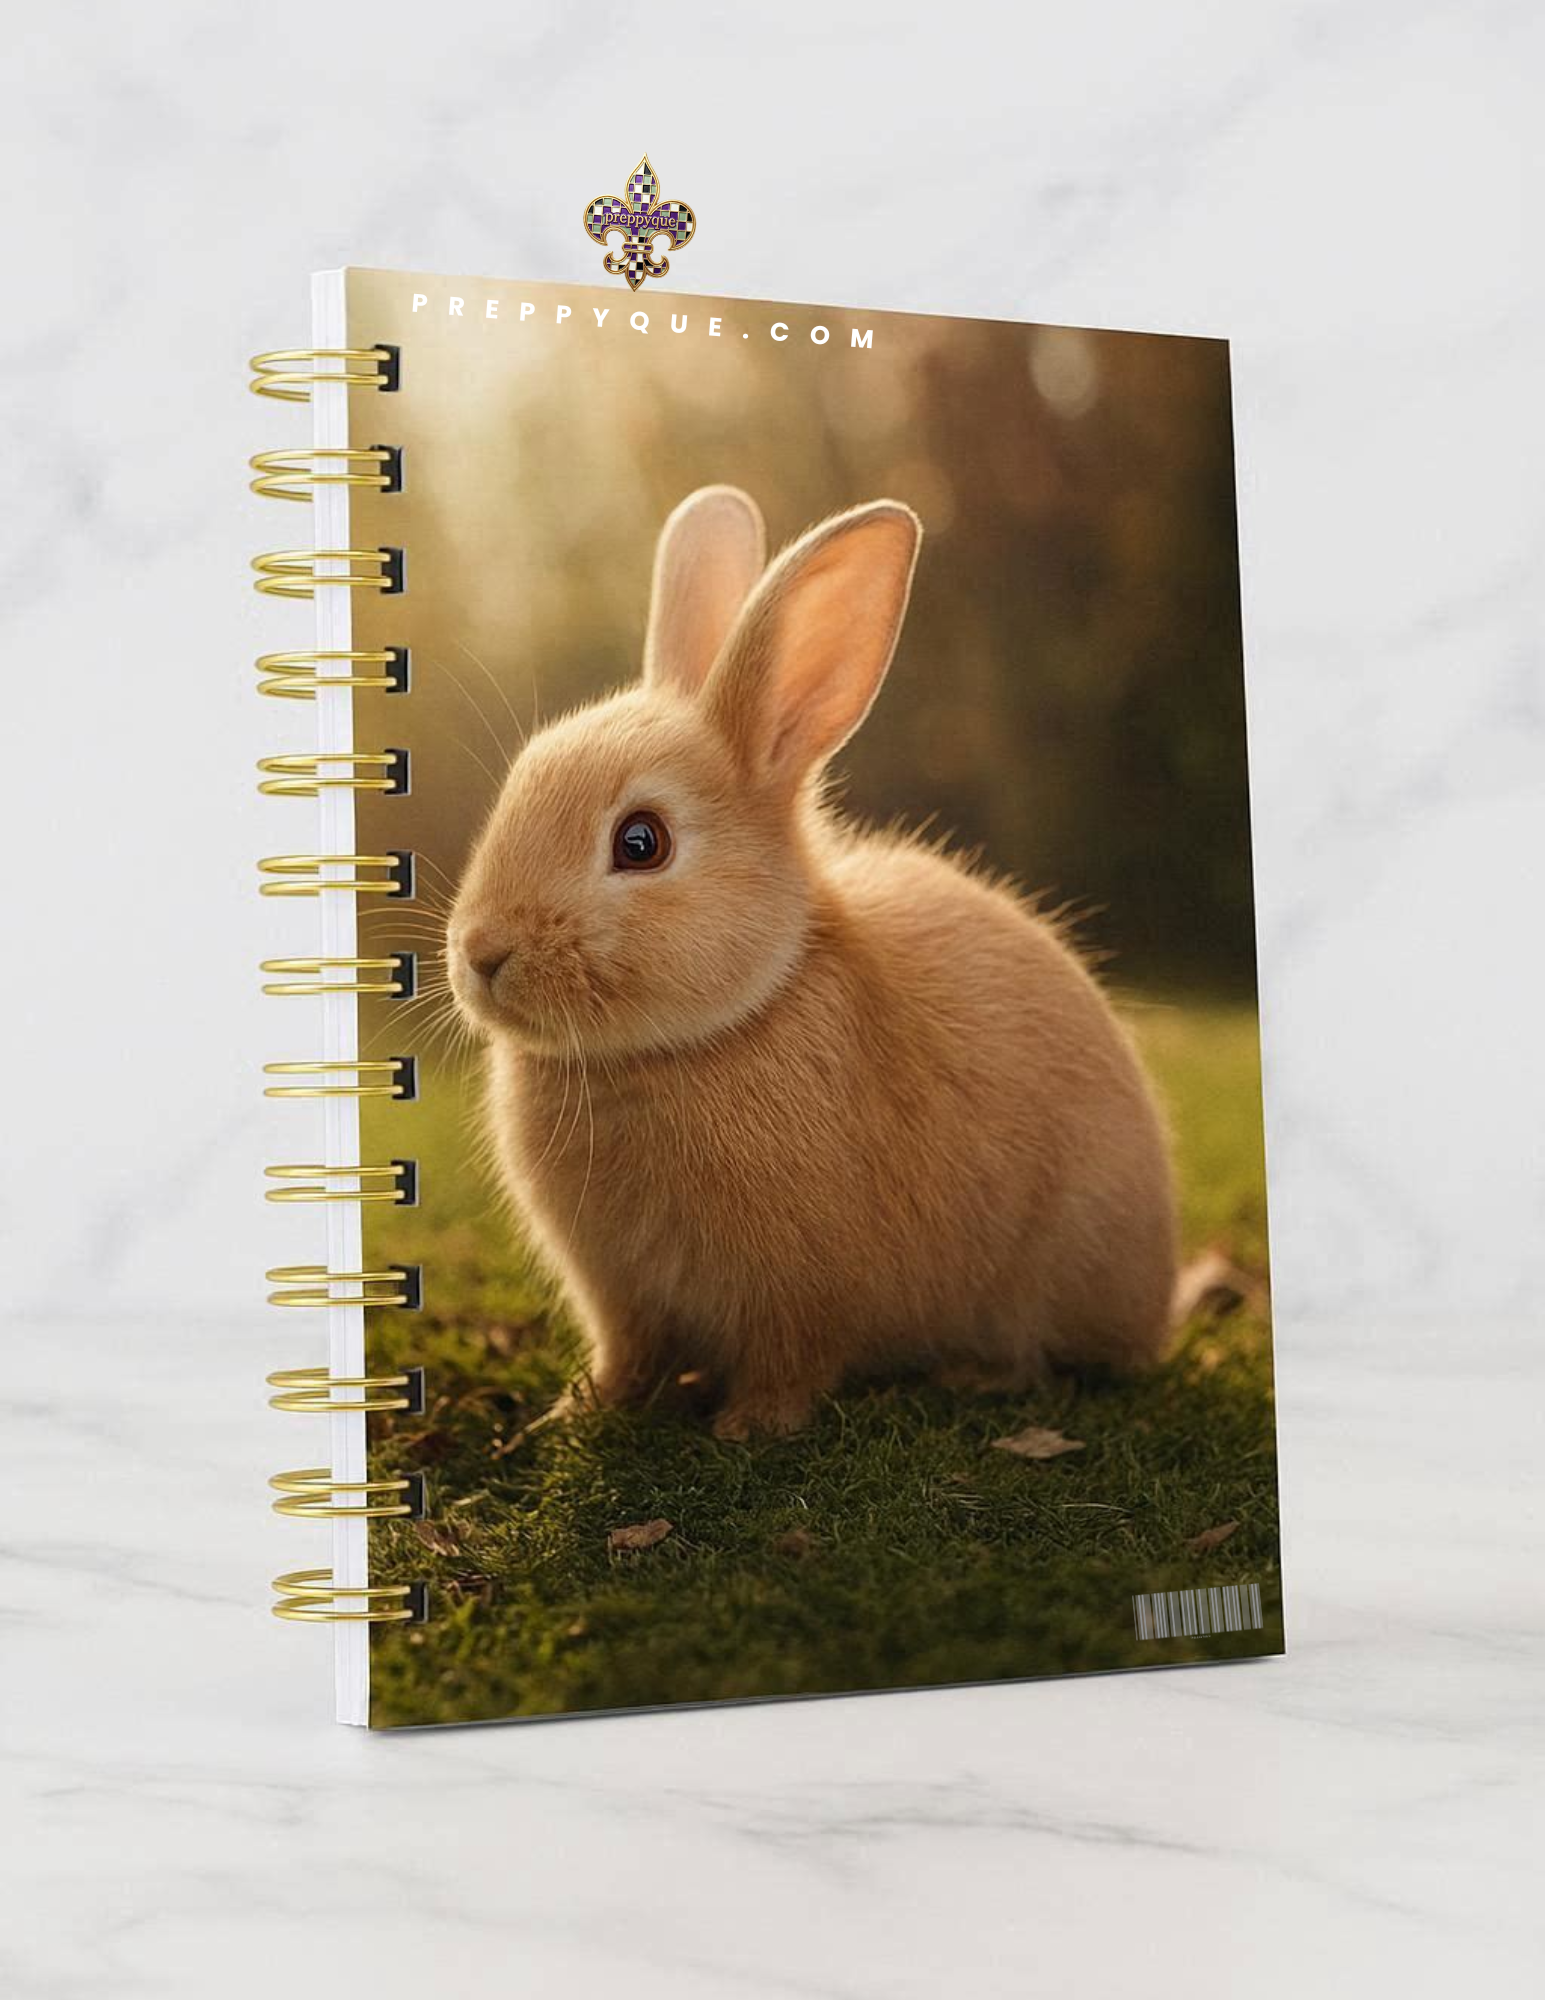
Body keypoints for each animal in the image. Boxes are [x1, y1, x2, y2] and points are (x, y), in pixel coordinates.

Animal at [448, 486, 1178, 1439]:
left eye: (641, 843)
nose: (481, 953)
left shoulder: (800, 1295)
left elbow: (790, 1361)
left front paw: (746, 1427)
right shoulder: (622, 1298)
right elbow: (627, 1356)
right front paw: (573, 1413)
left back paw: (976, 1376)